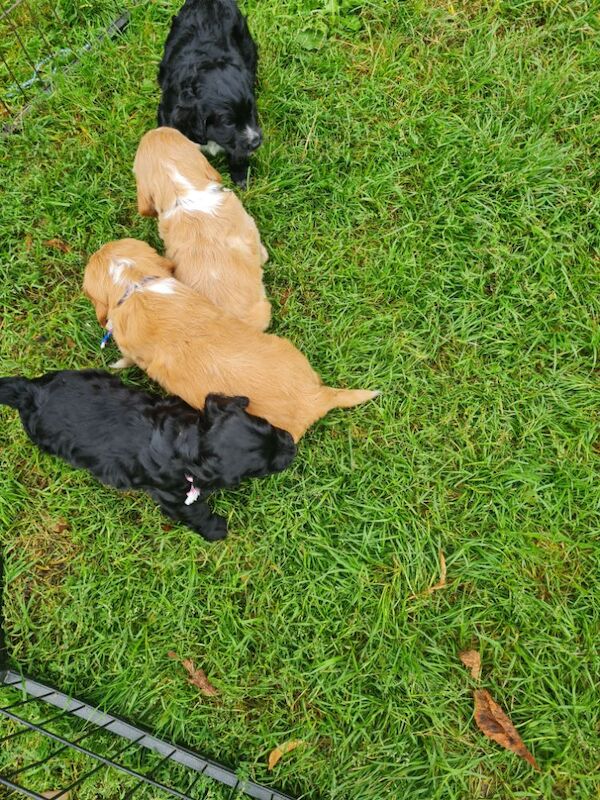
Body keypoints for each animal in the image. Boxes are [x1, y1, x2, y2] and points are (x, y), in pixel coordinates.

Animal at [0, 372, 296, 540]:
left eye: (266, 424)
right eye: (259, 469)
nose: (292, 446)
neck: (186, 439)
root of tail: (30, 392)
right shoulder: (173, 496)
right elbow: (196, 511)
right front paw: (216, 530)